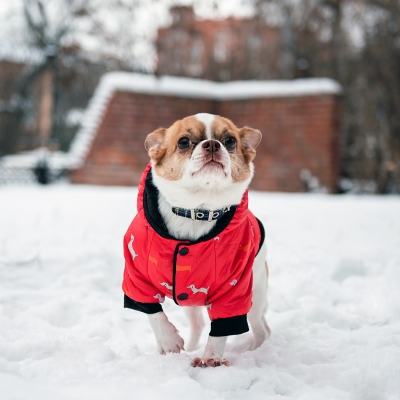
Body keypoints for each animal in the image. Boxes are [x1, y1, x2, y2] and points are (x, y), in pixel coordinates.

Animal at [122, 114, 268, 368]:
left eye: (230, 141)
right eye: (183, 142)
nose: (212, 144)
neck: (197, 210)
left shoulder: (235, 290)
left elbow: (222, 328)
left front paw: (212, 357)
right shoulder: (136, 277)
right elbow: (153, 312)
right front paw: (168, 341)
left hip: (255, 296)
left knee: (261, 328)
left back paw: (256, 350)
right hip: (190, 303)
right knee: (198, 324)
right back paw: (190, 348)